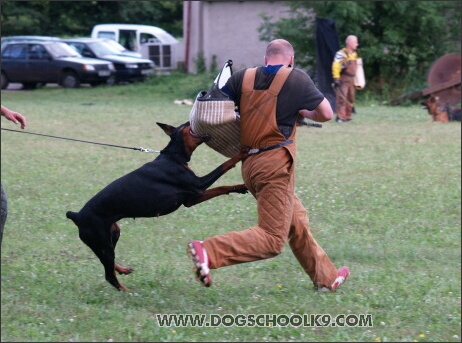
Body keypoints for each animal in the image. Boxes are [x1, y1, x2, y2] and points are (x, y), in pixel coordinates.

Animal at [66, 122, 247, 292]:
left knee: (107, 263)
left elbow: (222, 188)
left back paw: (123, 269)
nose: (191, 119)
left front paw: (240, 187)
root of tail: (76, 215)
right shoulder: (198, 185)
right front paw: (242, 153)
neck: (173, 156)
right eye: (186, 124)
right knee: (108, 274)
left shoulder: (192, 198)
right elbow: (225, 165)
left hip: (112, 234)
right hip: (102, 240)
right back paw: (126, 291)